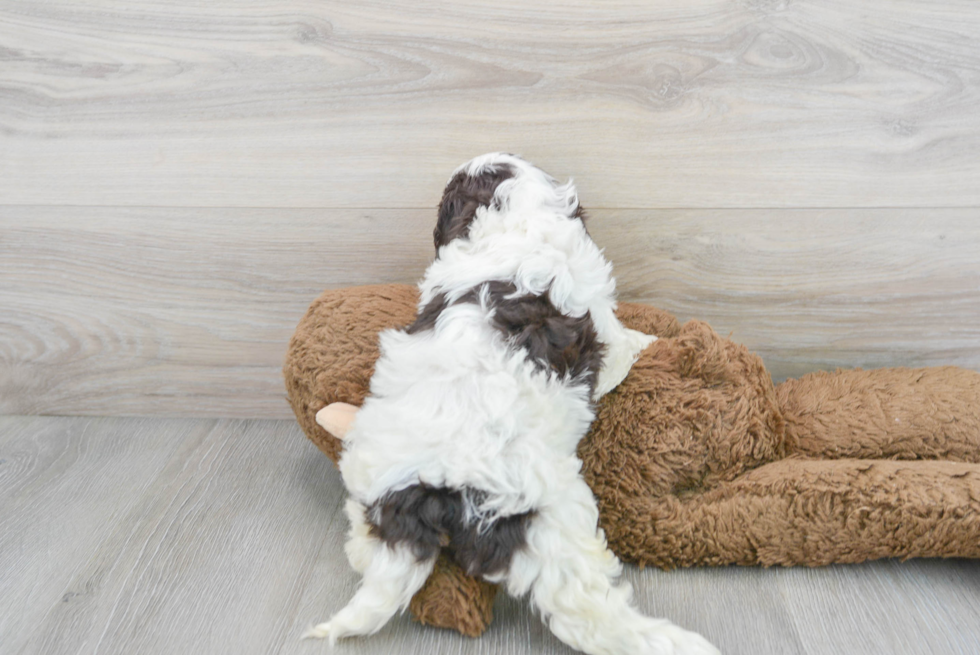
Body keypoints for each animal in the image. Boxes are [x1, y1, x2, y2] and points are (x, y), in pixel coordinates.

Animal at [304, 155, 720, 655]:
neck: (512, 220)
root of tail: (433, 488)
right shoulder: (601, 322)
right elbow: (621, 346)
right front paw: (649, 342)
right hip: (548, 523)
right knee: (585, 609)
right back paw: (669, 639)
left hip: (373, 485)